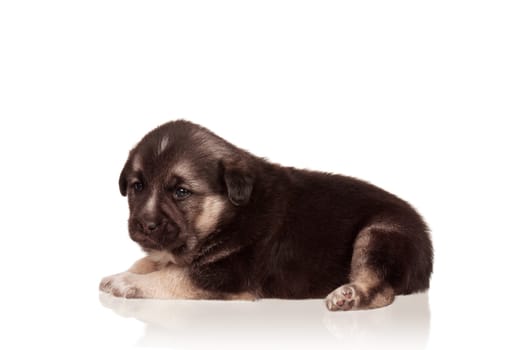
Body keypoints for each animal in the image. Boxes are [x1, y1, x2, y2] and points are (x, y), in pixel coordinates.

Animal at [98, 121, 430, 312]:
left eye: (181, 192)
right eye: (137, 187)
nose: (145, 225)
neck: (230, 213)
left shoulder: (229, 275)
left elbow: (172, 275)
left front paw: (126, 282)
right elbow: (152, 263)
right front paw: (125, 271)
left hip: (378, 233)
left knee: (383, 290)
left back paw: (348, 296)